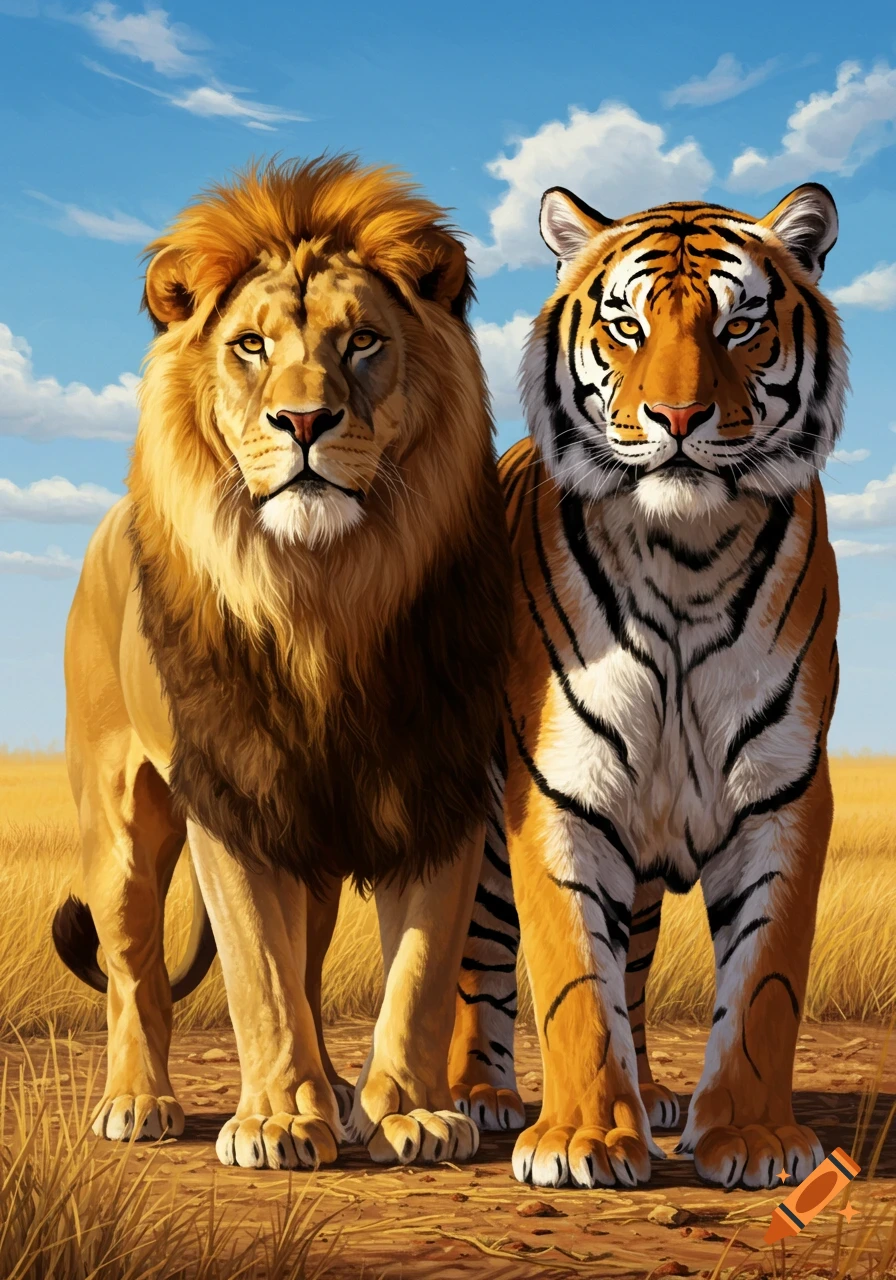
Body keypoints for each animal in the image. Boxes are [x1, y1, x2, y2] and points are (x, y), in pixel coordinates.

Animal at [52, 155, 513, 1169]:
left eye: (365, 340)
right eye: (252, 347)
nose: (304, 420)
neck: (322, 597)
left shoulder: (442, 780)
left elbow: (418, 971)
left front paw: (409, 1113)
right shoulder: (233, 793)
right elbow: (257, 972)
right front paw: (272, 1121)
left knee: (307, 955)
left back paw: (336, 1093)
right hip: (118, 818)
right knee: (133, 966)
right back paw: (137, 1102)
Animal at [447, 182, 845, 1191]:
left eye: (741, 324)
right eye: (626, 325)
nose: (678, 417)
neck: (686, 556)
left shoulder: (782, 791)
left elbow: (763, 981)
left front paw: (751, 1139)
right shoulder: (559, 790)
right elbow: (573, 979)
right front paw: (584, 1141)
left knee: (634, 957)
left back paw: (657, 1093)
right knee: (483, 956)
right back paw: (481, 1095)